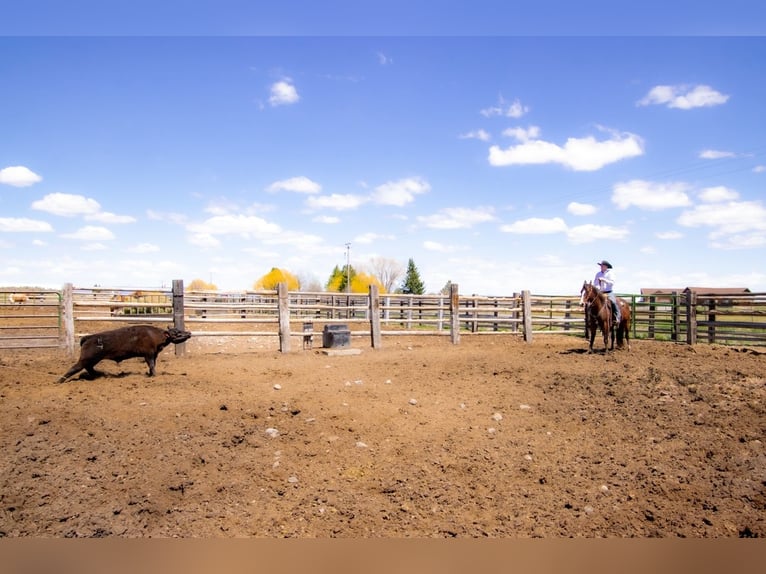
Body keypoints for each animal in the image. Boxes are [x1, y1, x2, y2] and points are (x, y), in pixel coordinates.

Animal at [59, 326, 192, 384]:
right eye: (177, 332)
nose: (189, 332)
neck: (156, 335)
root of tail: (88, 337)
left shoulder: (154, 355)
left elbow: (152, 365)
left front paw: (150, 374)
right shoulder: (148, 354)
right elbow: (151, 365)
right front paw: (154, 375)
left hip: (92, 360)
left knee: (89, 368)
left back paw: (100, 375)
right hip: (86, 359)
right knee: (75, 368)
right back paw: (60, 380)